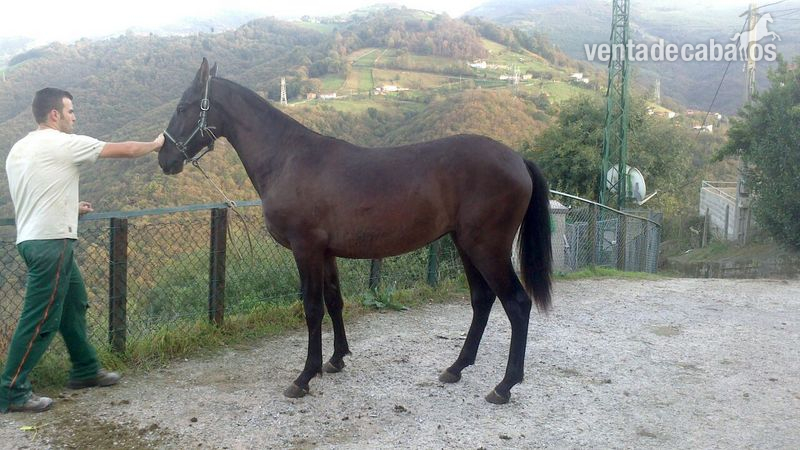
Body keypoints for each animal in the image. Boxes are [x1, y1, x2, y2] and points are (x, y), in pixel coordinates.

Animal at [159, 58, 552, 404]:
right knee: (482, 300)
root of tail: (517, 159)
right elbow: (335, 301)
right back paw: (456, 368)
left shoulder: (305, 249)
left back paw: (504, 386)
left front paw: (305, 376)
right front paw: (336, 359)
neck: (288, 158)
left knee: (516, 304)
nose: (165, 159)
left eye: (182, 107)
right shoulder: (326, 252)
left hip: (487, 248)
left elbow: (312, 308)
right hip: (465, 245)